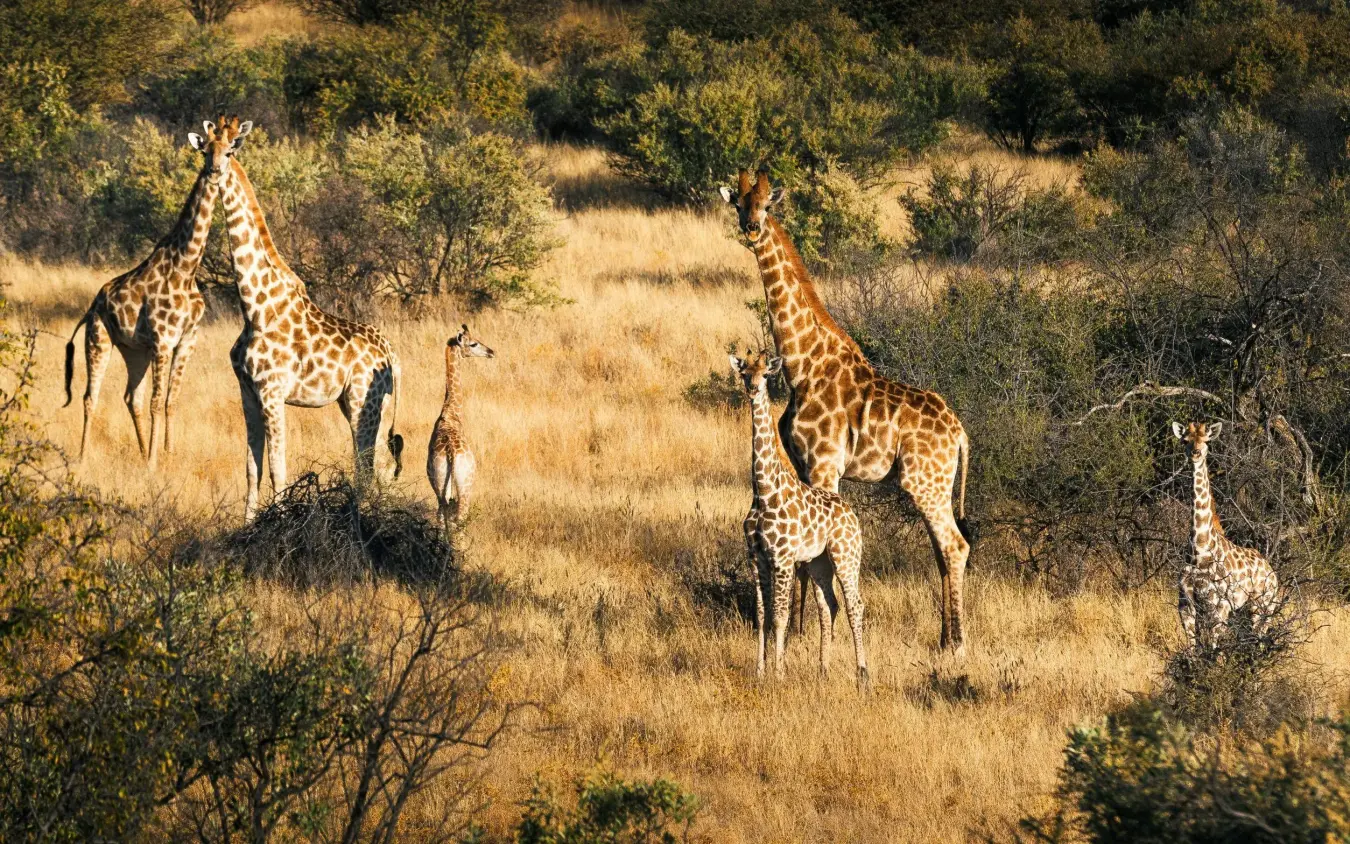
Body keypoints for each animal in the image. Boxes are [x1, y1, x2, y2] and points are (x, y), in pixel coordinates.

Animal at [63, 120, 225, 468]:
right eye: (205, 150)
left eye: (229, 149)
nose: (215, 170)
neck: (186, 267)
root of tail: (91, 307)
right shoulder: (163, 340)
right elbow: (156, 400)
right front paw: (153, 463)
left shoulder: (187, 339)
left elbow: (170, 400)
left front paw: (167, 454)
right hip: (99, 339)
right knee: (90, 396)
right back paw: (82, 457)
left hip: (133, 350)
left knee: (130, 397)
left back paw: (138, 452)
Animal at [215, 116, 404, 520]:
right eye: (205, 147)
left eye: (231, 149)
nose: (213, 169)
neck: (254, 308)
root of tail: (391, 354)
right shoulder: (247, 391)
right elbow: (251, 467)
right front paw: (248, 524)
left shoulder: (272, 391)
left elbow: (277, 466)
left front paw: (278, 518)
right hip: (370, 404)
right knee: (378, 465)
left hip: (363, 400)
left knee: (367, 464)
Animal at [428, 324, 495, 531]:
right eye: (473, 344)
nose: (491, 352)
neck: (451, 412)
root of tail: (450, 454)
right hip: (466, 486)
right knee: (460, 519)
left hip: (441, 486)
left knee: (442, 518)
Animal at [735, 351, 869, 687]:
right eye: (743, 373)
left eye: (766, 374)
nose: (753, 389)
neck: (763, 490)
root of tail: (852, 514)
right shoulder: (755, 557)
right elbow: (761, 614)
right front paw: (760, 671)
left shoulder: (782, 558)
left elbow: (781, 615)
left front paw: (779, 673)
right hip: (818, 562)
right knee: (829, 604)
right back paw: (824, 669)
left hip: (846, 555)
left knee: (855, 604)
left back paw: (862, 674)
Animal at [1172, 422, 1279, 651]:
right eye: (1185, 441)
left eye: (1206, 440)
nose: (1195, 454)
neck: (1199, 548)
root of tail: (1273, 572)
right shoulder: (1185, 604)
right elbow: (1192, 647)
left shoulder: (1219, 605)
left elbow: (1215, 648)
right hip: (1249, 608)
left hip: (1264, 604)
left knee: (1259, 638)